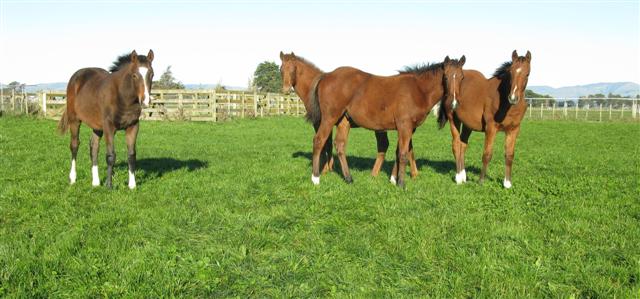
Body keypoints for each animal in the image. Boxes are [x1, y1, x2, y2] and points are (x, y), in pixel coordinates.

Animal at [58, 49, 156, 190]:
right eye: (134, 75)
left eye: (152, 74)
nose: (145, 101)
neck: (123, 97)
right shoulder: (109, 127)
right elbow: (110, 155)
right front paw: (109, 185)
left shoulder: (133, 126)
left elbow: (131, 155)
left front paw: (132, 185)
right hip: (74, 120)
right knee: (74, 145)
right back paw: (72, 178)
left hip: (97, 126)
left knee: (94, 147)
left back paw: (95, 182)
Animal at [278, 51, 418, 180]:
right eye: (281, 69)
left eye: (293, 69)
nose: (286, 90)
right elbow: (329, 144)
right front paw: (329, 168)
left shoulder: (321, 122)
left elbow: (325, 143)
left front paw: (325, 169)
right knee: (404, 147)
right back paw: (412, 174)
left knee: (386, 145)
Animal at [308, 55, 464, 189]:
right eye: (445, 77)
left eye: (462, 77)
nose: (454, 103)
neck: (418, 90)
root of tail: (327, 75)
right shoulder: (404, 126)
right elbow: (403, 154)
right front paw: (401, 183)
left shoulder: (410, 128)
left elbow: (403, 151)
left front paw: (394, 179)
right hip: (329, 118)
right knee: (318, 141)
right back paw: (315, 178)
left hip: (344, 120)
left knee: (340, 145)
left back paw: (348, 178)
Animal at [438, 50, 532, 189]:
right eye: (511, 72)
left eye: (527, 74)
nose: (513, 98)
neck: (505, 103)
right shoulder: (491, 128)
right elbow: (487, 154)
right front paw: (481, 181)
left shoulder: (514, 129)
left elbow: (509, 155)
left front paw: (507, 183)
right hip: (453, 119)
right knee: (456, 144)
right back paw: (459, 178)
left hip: (468, 125)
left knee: (463, 145)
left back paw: (464, 176)